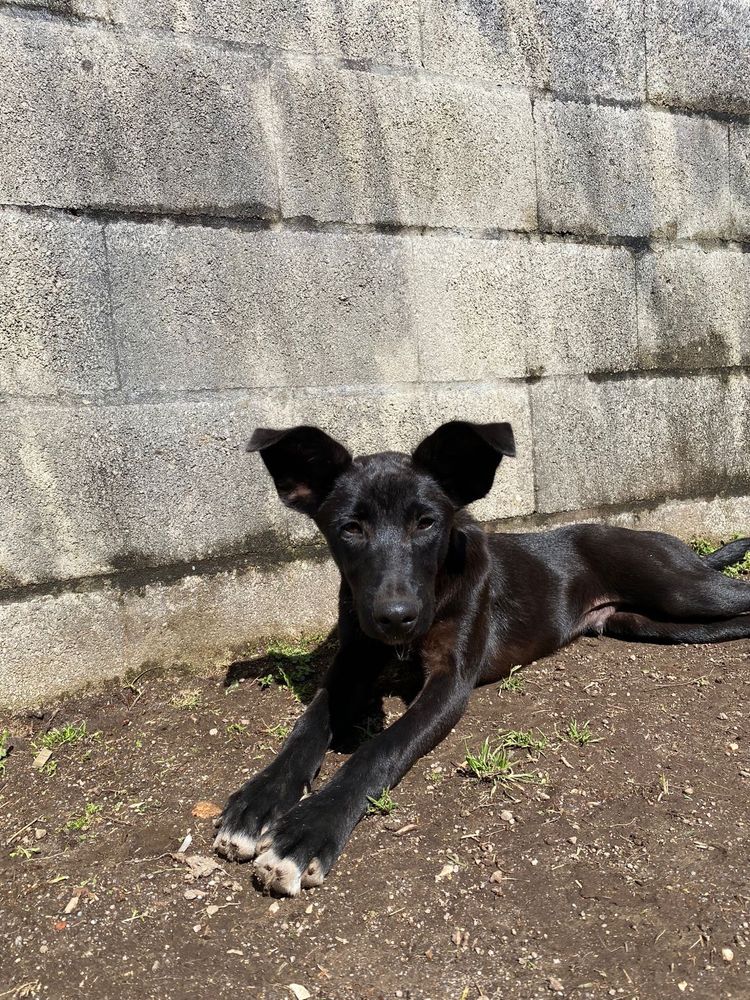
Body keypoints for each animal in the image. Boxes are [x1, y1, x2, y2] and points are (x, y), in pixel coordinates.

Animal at [214, 418, 750, 896]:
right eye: (351, 528)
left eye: (426, 522)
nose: (396, 617)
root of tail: (661, 539)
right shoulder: (353, 659)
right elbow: (308, 725)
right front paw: (257, 801)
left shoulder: (450, 682)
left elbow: (379, 748)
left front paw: (309, 830)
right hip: (650, 623)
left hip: (680, 590)